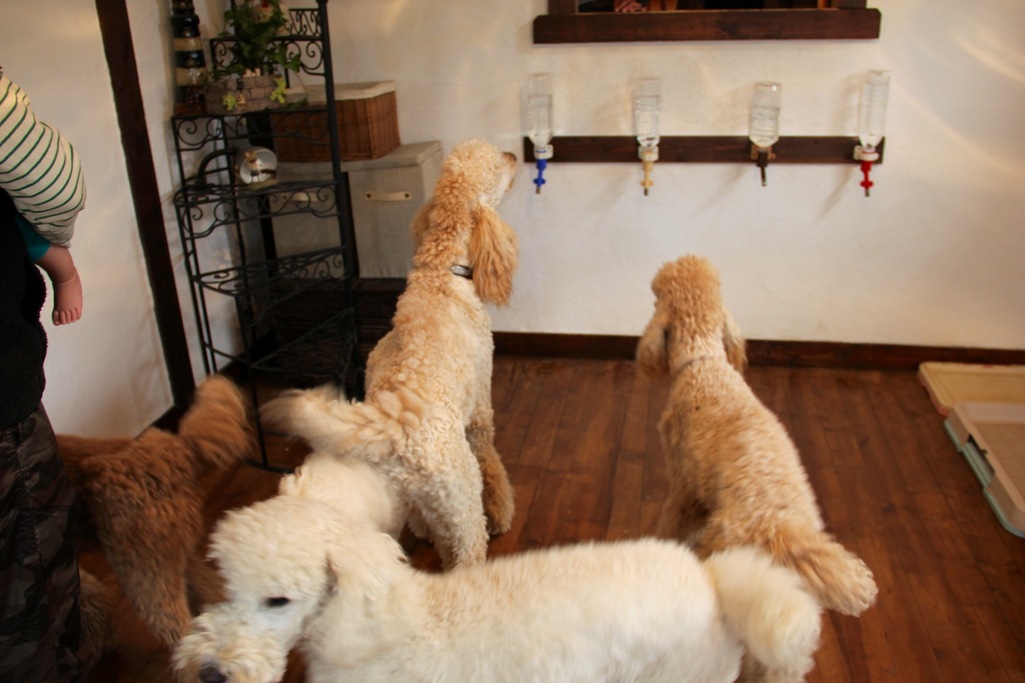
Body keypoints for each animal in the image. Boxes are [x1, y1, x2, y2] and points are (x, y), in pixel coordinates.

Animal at [261, 138, 518, 569]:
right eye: (497, 164)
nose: (516, 155)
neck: (441, 271)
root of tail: (396, 429)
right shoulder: (481, 408)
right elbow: (493, 462)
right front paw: (502, 513)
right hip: (461, 497)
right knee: (466, 552)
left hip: (403, 503)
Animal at [636, 254, 878, 622]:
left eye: (654, 300)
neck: (703, 362)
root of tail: (778, 528)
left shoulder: (684, 487)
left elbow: (671, 523)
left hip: (719, 541)